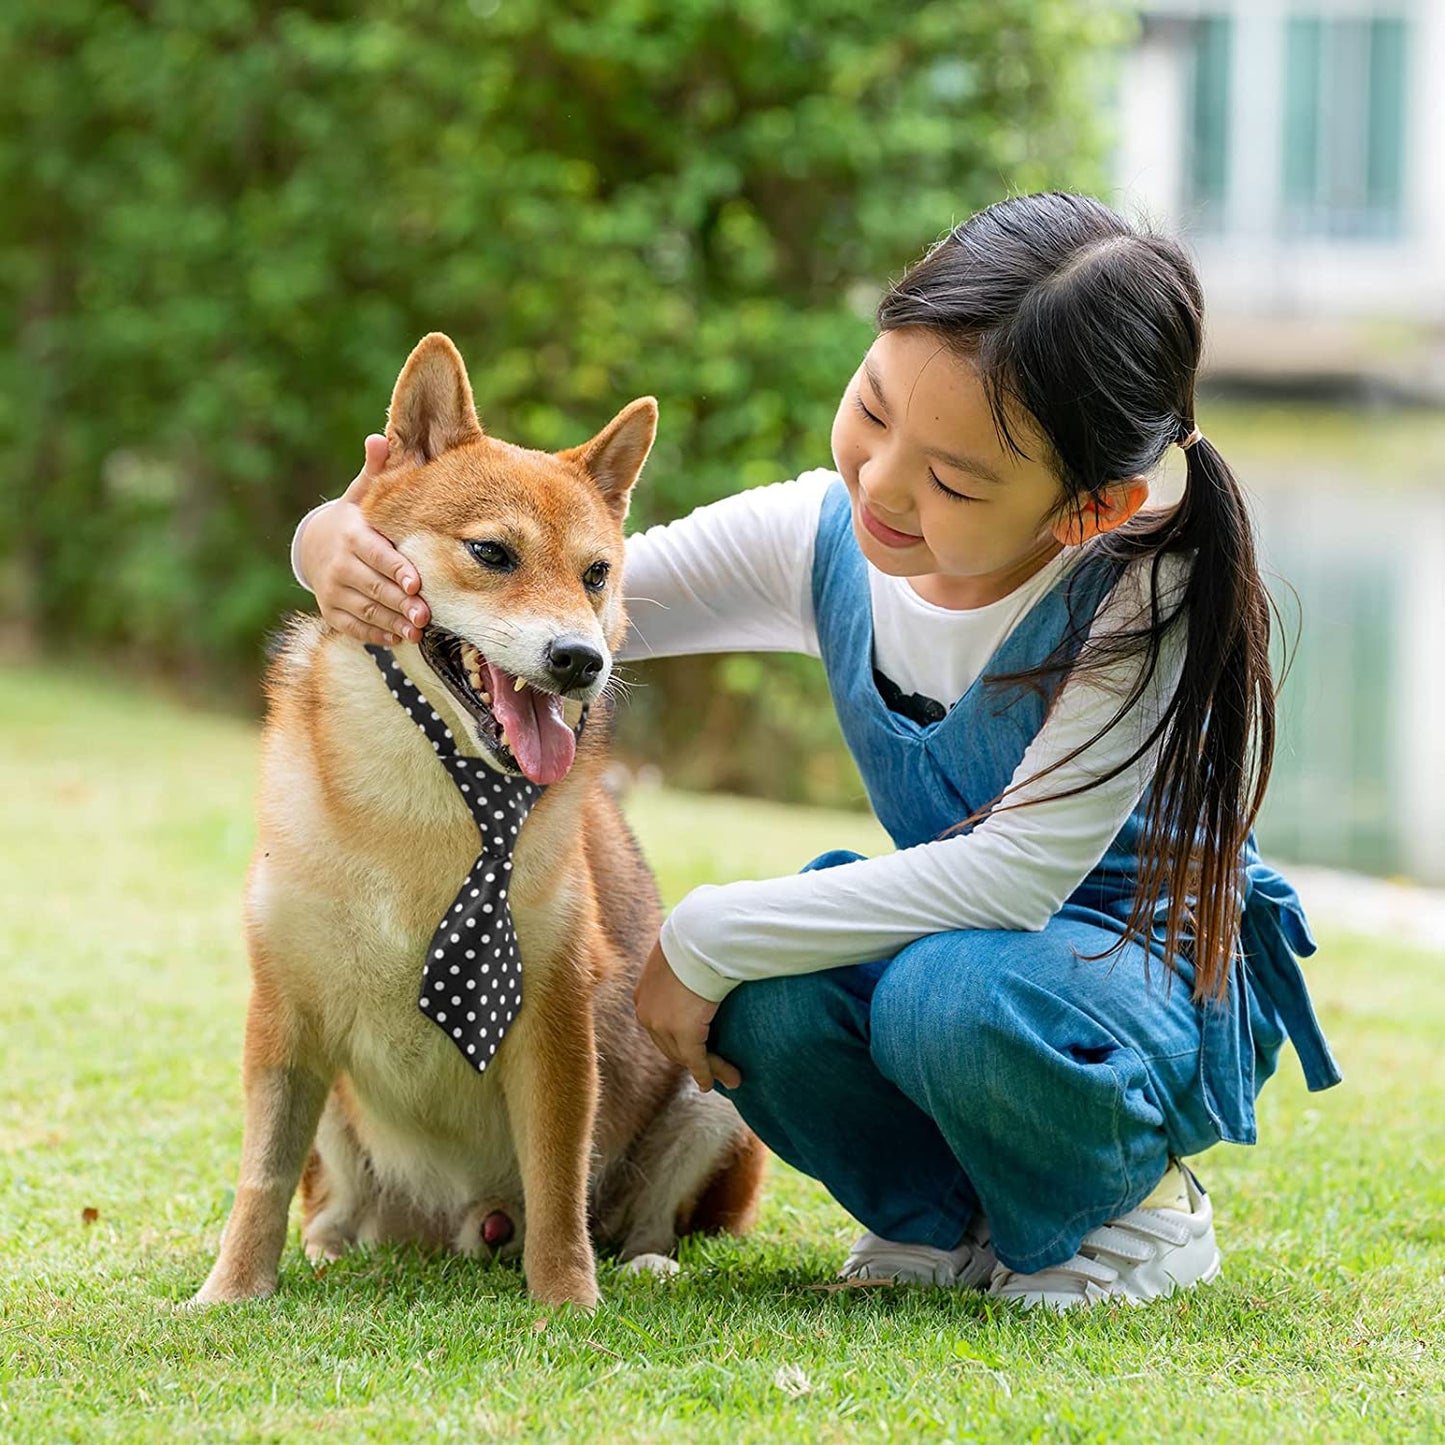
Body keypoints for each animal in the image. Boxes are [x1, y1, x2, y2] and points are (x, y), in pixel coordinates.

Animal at [192, 335, 768, 1312]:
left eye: (596, 573)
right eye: (492, 552)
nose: (580, 660)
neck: (427, 809)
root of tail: (462, 1227)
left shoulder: (555, 1018)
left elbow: (558, 1180)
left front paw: (566, 1300)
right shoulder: (285, 1012)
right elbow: (260, 1179)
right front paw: (230, 1293)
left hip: (712, 1088)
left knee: (638, 1219)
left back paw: (642, 1263)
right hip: (340, 1116)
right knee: (333, 1205)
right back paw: (330, 1248)